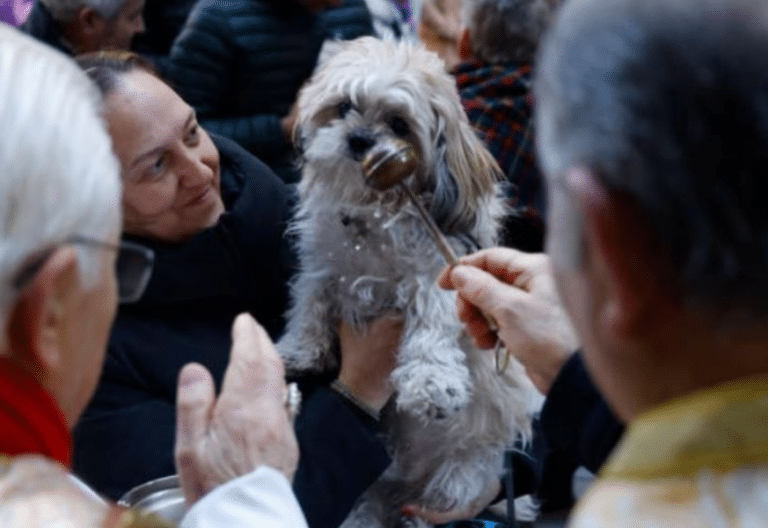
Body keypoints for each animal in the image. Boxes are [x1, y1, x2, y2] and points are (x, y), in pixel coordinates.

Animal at [280, 36, 536, 524]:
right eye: (344, 107)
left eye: (399, 124)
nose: (360, 138)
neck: (372, 215)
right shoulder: (322, 264)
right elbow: (311, 299)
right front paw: (302, 349)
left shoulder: (438, 274)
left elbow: (431, 329)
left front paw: (432, 382)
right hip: (369, 498)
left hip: (458, 478)